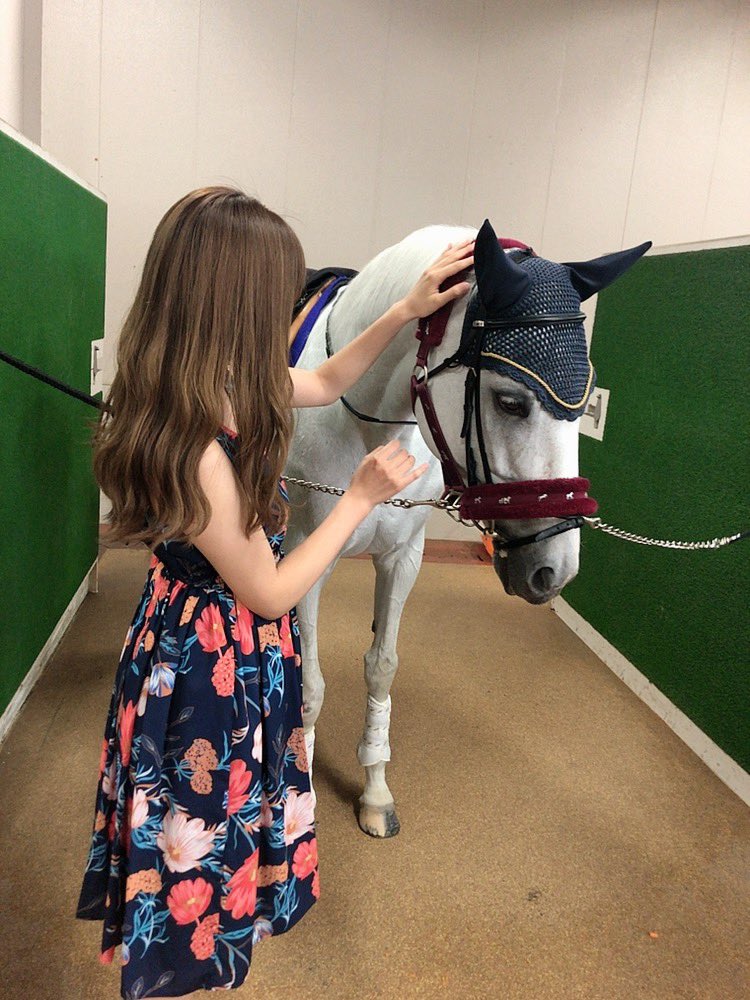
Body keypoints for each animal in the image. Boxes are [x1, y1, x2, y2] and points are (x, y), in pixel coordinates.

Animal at [284, 218, 649, 837]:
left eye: (583, 405)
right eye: (510, 402)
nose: (554, 570)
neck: (368, 421)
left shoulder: (402, 558)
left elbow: (381, 668)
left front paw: (375, 792)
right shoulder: (307, 557)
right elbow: (309, 686)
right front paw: (297, 802)